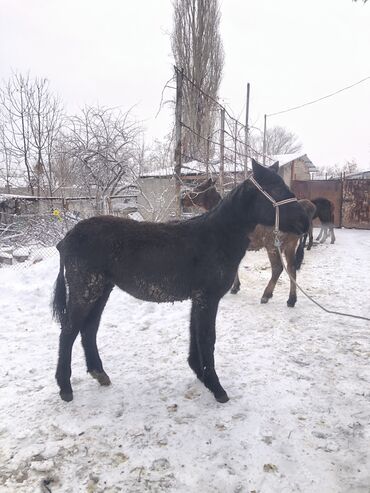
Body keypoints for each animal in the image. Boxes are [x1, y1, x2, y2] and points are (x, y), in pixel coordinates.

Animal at [182, 169, 316, 308]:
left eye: (199, 187)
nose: (183, 199)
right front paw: (236, 287)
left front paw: (234, 287)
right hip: (290, 245)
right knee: (292, 268)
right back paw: (291, 299)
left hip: (273, 245)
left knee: (278, 268)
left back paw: (266, 295)